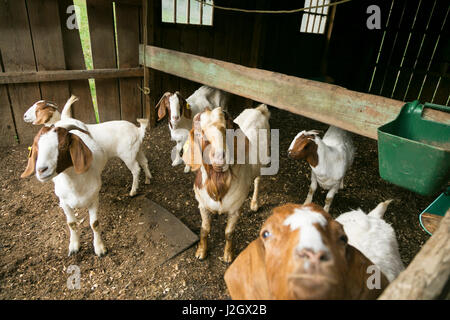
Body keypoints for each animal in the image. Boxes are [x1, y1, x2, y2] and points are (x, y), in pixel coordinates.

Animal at [21, 119, 109, 256]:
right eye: (37, 147)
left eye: (62, 146)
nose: (41, 170)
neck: (75, 185)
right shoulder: (64, 202)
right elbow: (71, 223)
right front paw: (74, 246)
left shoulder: (94, 199)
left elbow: (94, 224)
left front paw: (99, 248)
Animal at [22, 94, 152, 196]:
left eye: (37, 109)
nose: (24, 116)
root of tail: (138, 131)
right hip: (137, 150)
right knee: (144, 161)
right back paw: (148, 179)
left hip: (127, 154)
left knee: (136, 169)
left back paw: (133, 191)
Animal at [183, 105, 270, 262]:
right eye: (199, 133)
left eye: (226, 129)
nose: (219, 157)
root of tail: (259, 110)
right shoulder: (202, 206)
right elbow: (204, 229)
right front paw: (201, 252)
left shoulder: (235, 210)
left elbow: (229, 233)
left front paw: (228, 255)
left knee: (258, 180)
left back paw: (254, 203)